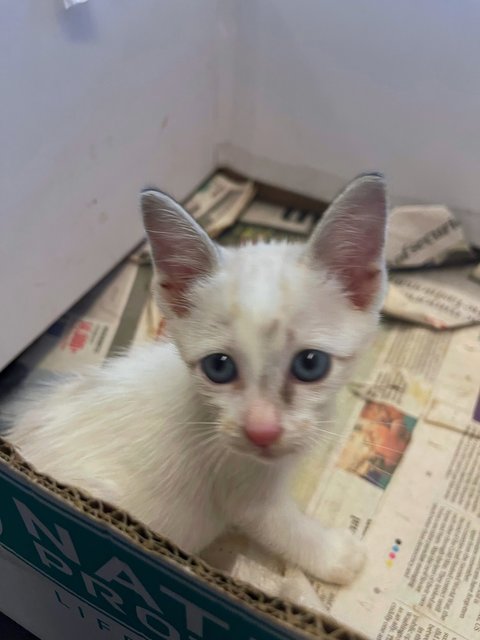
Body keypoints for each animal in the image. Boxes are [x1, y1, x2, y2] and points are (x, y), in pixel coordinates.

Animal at [7, 172, 388, 588]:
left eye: (310, 364)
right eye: (218, 367)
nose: (262, 431)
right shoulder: (243, 490)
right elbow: (282, 527)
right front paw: (335, 556)